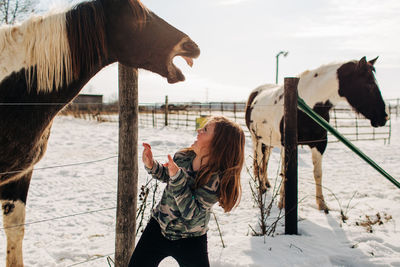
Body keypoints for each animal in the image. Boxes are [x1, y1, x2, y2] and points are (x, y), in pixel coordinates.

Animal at [245, 57, 390, 215]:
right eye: (369, 84)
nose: (384, 117)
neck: (306, 106)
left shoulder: (320, 144)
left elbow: (318, 173)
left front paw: (322, 204)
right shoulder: (287, 145)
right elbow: (285, 173)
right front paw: (282, 203)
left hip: (269, 142)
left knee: (264, 161)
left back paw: (266, 183)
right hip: (256, 139)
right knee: (259, 161)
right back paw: (262, 187)